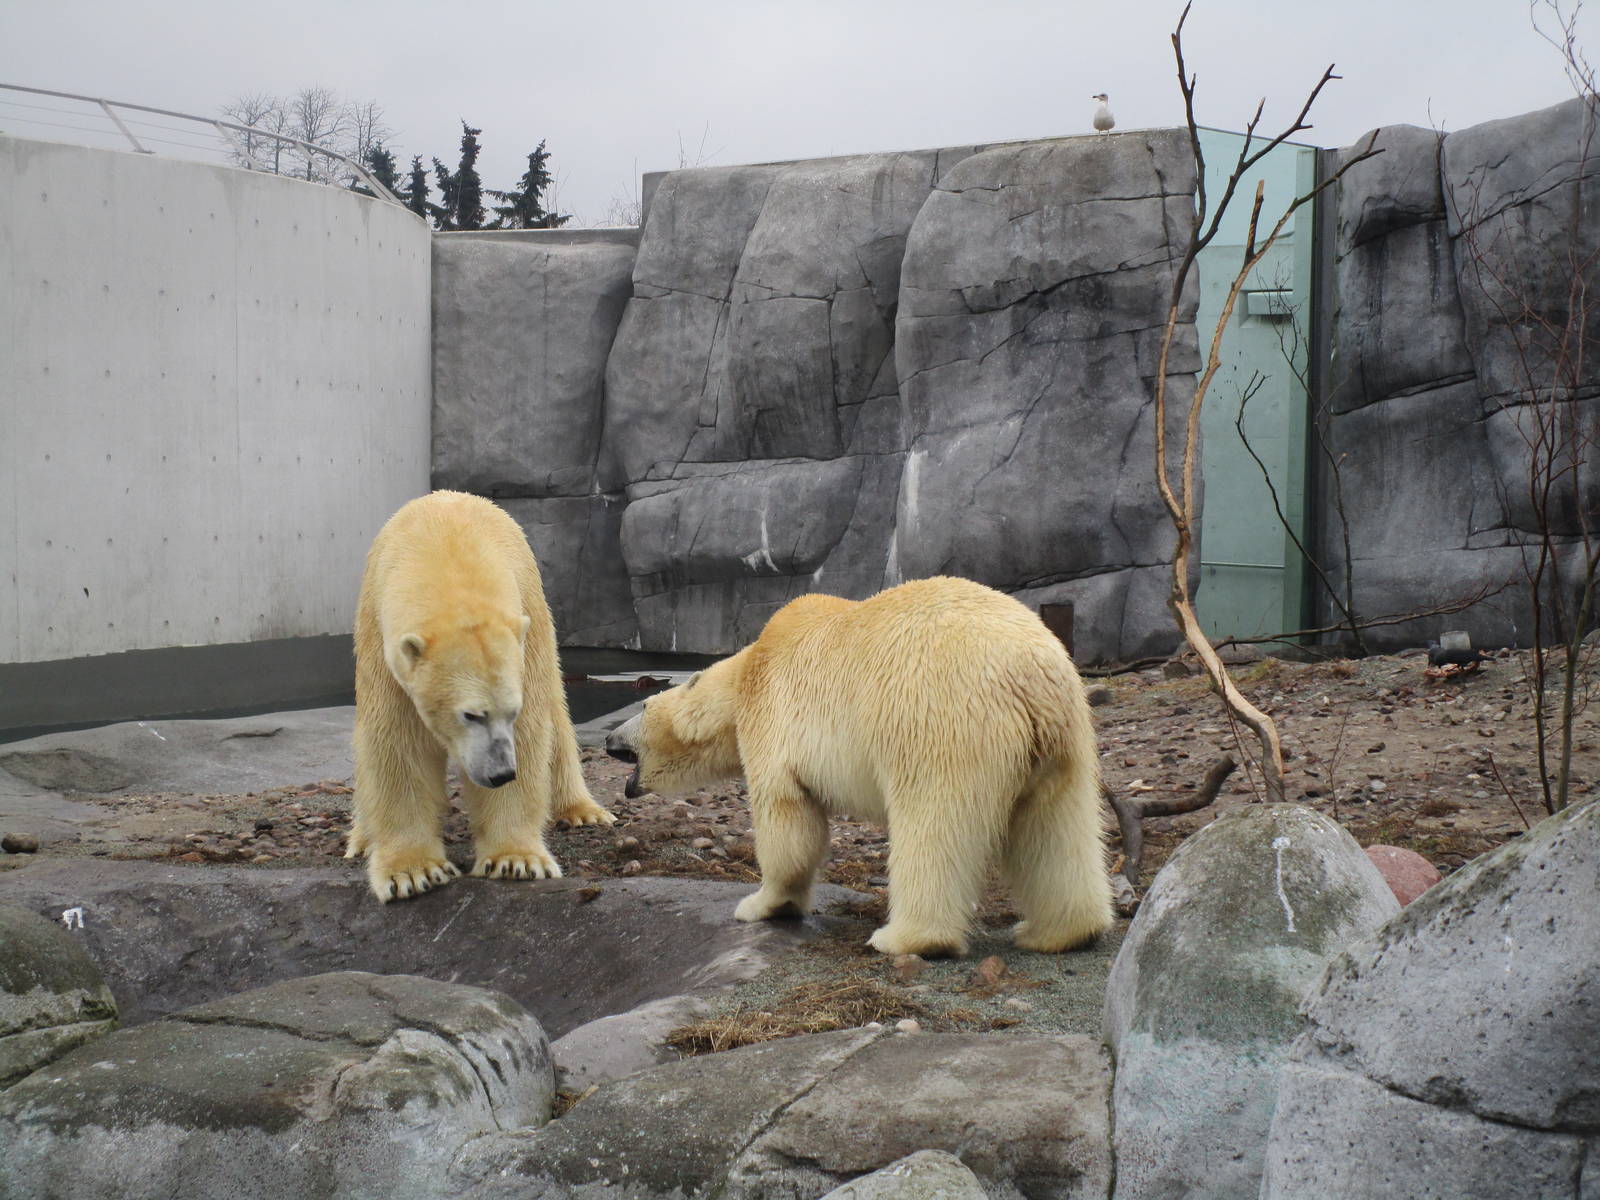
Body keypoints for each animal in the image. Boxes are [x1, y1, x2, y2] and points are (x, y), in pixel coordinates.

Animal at [347, 490, 614, 902]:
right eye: (470, 715)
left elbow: (532, 730)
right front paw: (412, 872)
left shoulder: (524, 631)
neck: (447, 552)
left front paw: (516, 860)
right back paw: (362, 839)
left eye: (511, 711)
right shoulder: (384, 647)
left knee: (556, 713)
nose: (501, 773)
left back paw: (583, 810)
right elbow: (398, 742)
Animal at [605, 576, 1111, 956]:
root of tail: (1030, 674)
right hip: (1064, 738)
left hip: (940, 720)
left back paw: (905, 937)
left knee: (932, 825)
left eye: (644, 704)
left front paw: (759, 904)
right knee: (1055, 828)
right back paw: (1057, 932)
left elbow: (788, 822)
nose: (610, 739)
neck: (749, 668)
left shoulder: (771, 719)